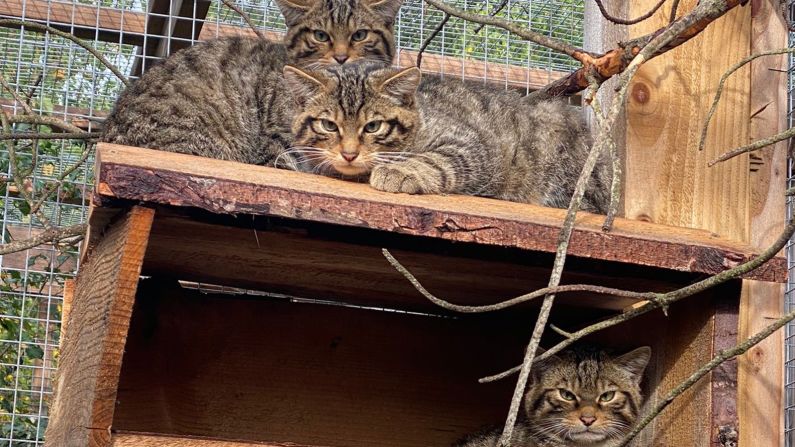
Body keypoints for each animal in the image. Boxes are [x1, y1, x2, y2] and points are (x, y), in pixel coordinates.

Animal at [282, 62, 612, 214]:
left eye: (373, 126)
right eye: (329, 125)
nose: (349, 153)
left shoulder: (470, 145)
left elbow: (434, 159)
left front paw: (399, 170)